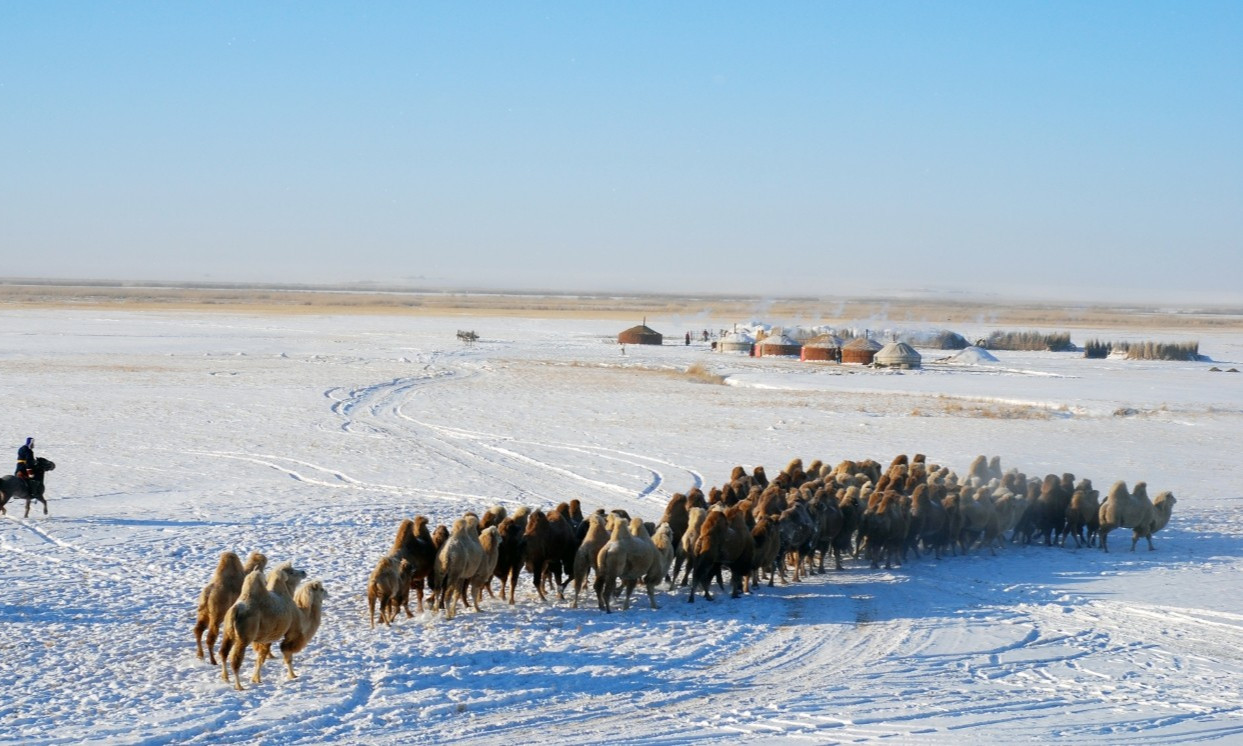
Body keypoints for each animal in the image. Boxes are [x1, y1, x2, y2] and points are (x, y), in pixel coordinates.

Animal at [220, 561, 307, 691]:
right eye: (291, 572)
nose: (303, 572)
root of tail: (235, 611)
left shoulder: (265, 638)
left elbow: (260, 658)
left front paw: (256, 679)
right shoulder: (291, 631)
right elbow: (287, 654)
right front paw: (293, 675)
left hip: (228, 633)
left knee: (223, 653)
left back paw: (225, 677)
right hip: (244, 638)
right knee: (235, 660)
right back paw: (239, 686)